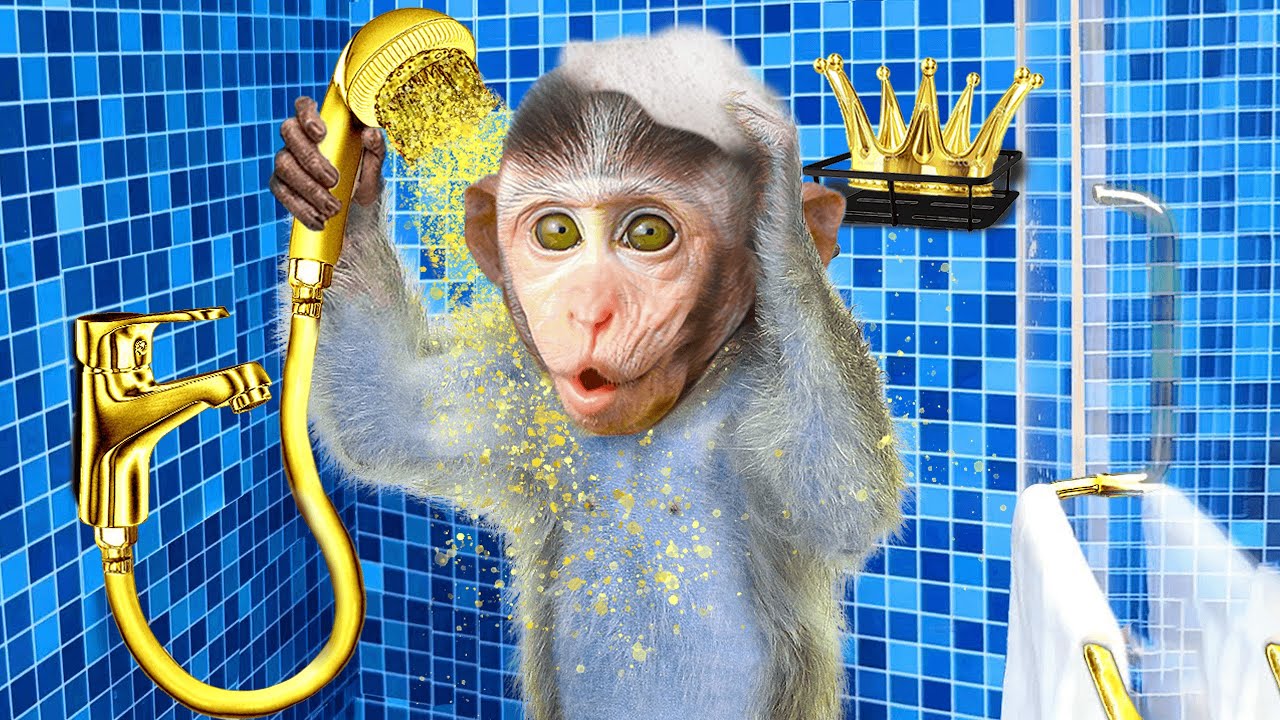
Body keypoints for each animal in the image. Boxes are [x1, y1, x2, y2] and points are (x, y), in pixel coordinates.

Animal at [271, 29, 904, 720]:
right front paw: (339, 176)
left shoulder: (754, 395)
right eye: (558, 231)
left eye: (648, 233)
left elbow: (839, 500)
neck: (648, 432)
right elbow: (387, 413)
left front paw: (780, 206)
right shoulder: (524, 400)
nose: (589, 310)